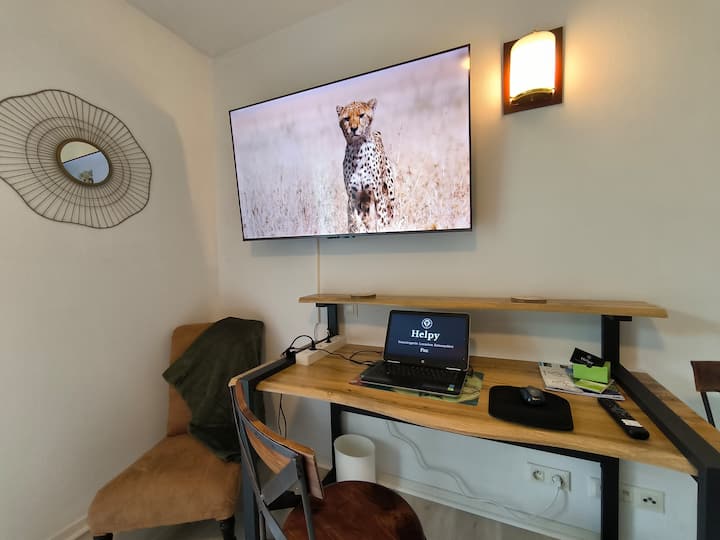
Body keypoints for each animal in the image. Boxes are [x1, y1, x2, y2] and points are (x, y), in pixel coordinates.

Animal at [336, 98, 396, 234]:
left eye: (361, 115)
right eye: (346, 118)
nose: (353, 128)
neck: (358, 149)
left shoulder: (378, 196)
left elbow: (381, 220)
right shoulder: (355, 199)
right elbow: (359, 222)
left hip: (389, 196)